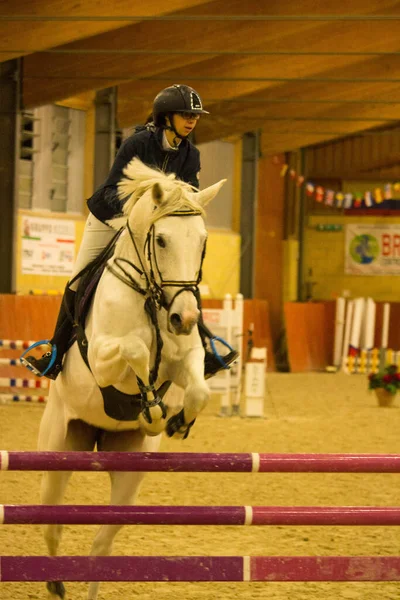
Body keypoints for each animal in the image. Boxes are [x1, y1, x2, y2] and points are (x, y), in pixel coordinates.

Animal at [39, 159, 227, 600]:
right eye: (161, 240)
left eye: (203, 242)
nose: (185, 318)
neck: (152, 298)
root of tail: (96, 438)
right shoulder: (102, 357)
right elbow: (137, 350)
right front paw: (152, 407)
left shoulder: (186, 358)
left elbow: (198, 389)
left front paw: (175, 421)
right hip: (58, 449)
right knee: (51, 522)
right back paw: (55, 582)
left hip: (129, 473)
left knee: (100, 543)